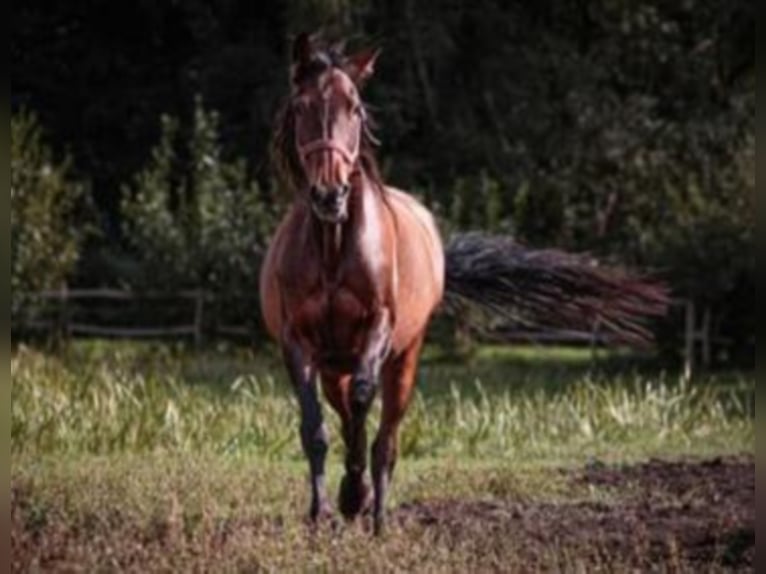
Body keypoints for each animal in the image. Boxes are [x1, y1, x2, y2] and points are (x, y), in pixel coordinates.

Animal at [260, 32, 668, 536]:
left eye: (355, 109)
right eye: (300, 107)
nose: (330, 195)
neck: (333, 247)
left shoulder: (378, 329)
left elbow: (363, 402)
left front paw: (355, 497)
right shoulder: (297, 342)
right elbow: (314, 428)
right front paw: (322, 512)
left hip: (403, 357)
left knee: (384, 434)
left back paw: (376, 513)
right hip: (335, 362)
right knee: (346, 413)